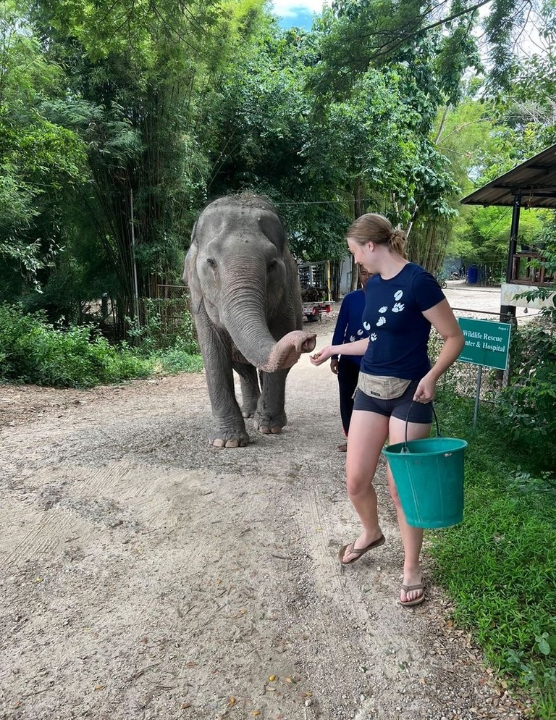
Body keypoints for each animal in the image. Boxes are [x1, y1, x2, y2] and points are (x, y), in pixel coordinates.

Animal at [183, 194, 317, 448]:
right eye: (211, 262)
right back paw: (249, 412)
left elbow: (279, 339)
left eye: (272, 264)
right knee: (244, 369)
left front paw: (268, 428)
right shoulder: (199, 303)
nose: (308, 339)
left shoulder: (285, 298)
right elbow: (213, 354)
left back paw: (262, 416)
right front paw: (227, 443)